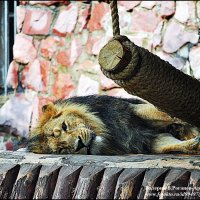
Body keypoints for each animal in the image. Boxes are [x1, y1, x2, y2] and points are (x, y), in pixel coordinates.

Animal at [28, 95, 200, 155]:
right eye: (61, 150)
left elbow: (166, 113)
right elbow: (169, 145)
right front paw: (195, 145)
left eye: (64, 126)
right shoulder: (148, 140)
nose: (79, 144)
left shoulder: (132, 110)